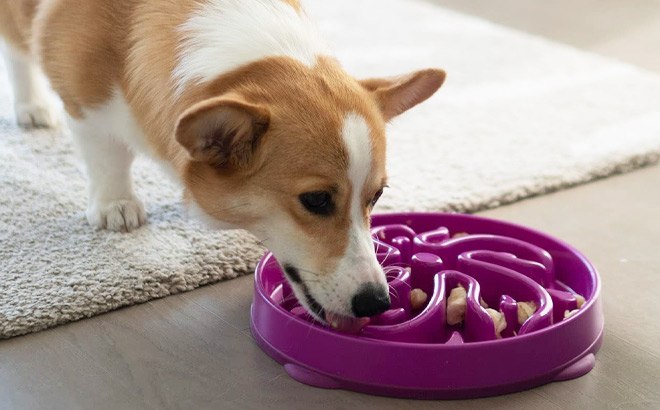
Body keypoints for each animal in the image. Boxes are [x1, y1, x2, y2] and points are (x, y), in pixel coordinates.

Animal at [0, 0, 445, 330]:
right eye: (316, 200)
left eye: (377, 195)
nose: (376, 302)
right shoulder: (87, 105)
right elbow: (107, 155)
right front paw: (116, 206)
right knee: (17, 51)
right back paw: (31, 106)